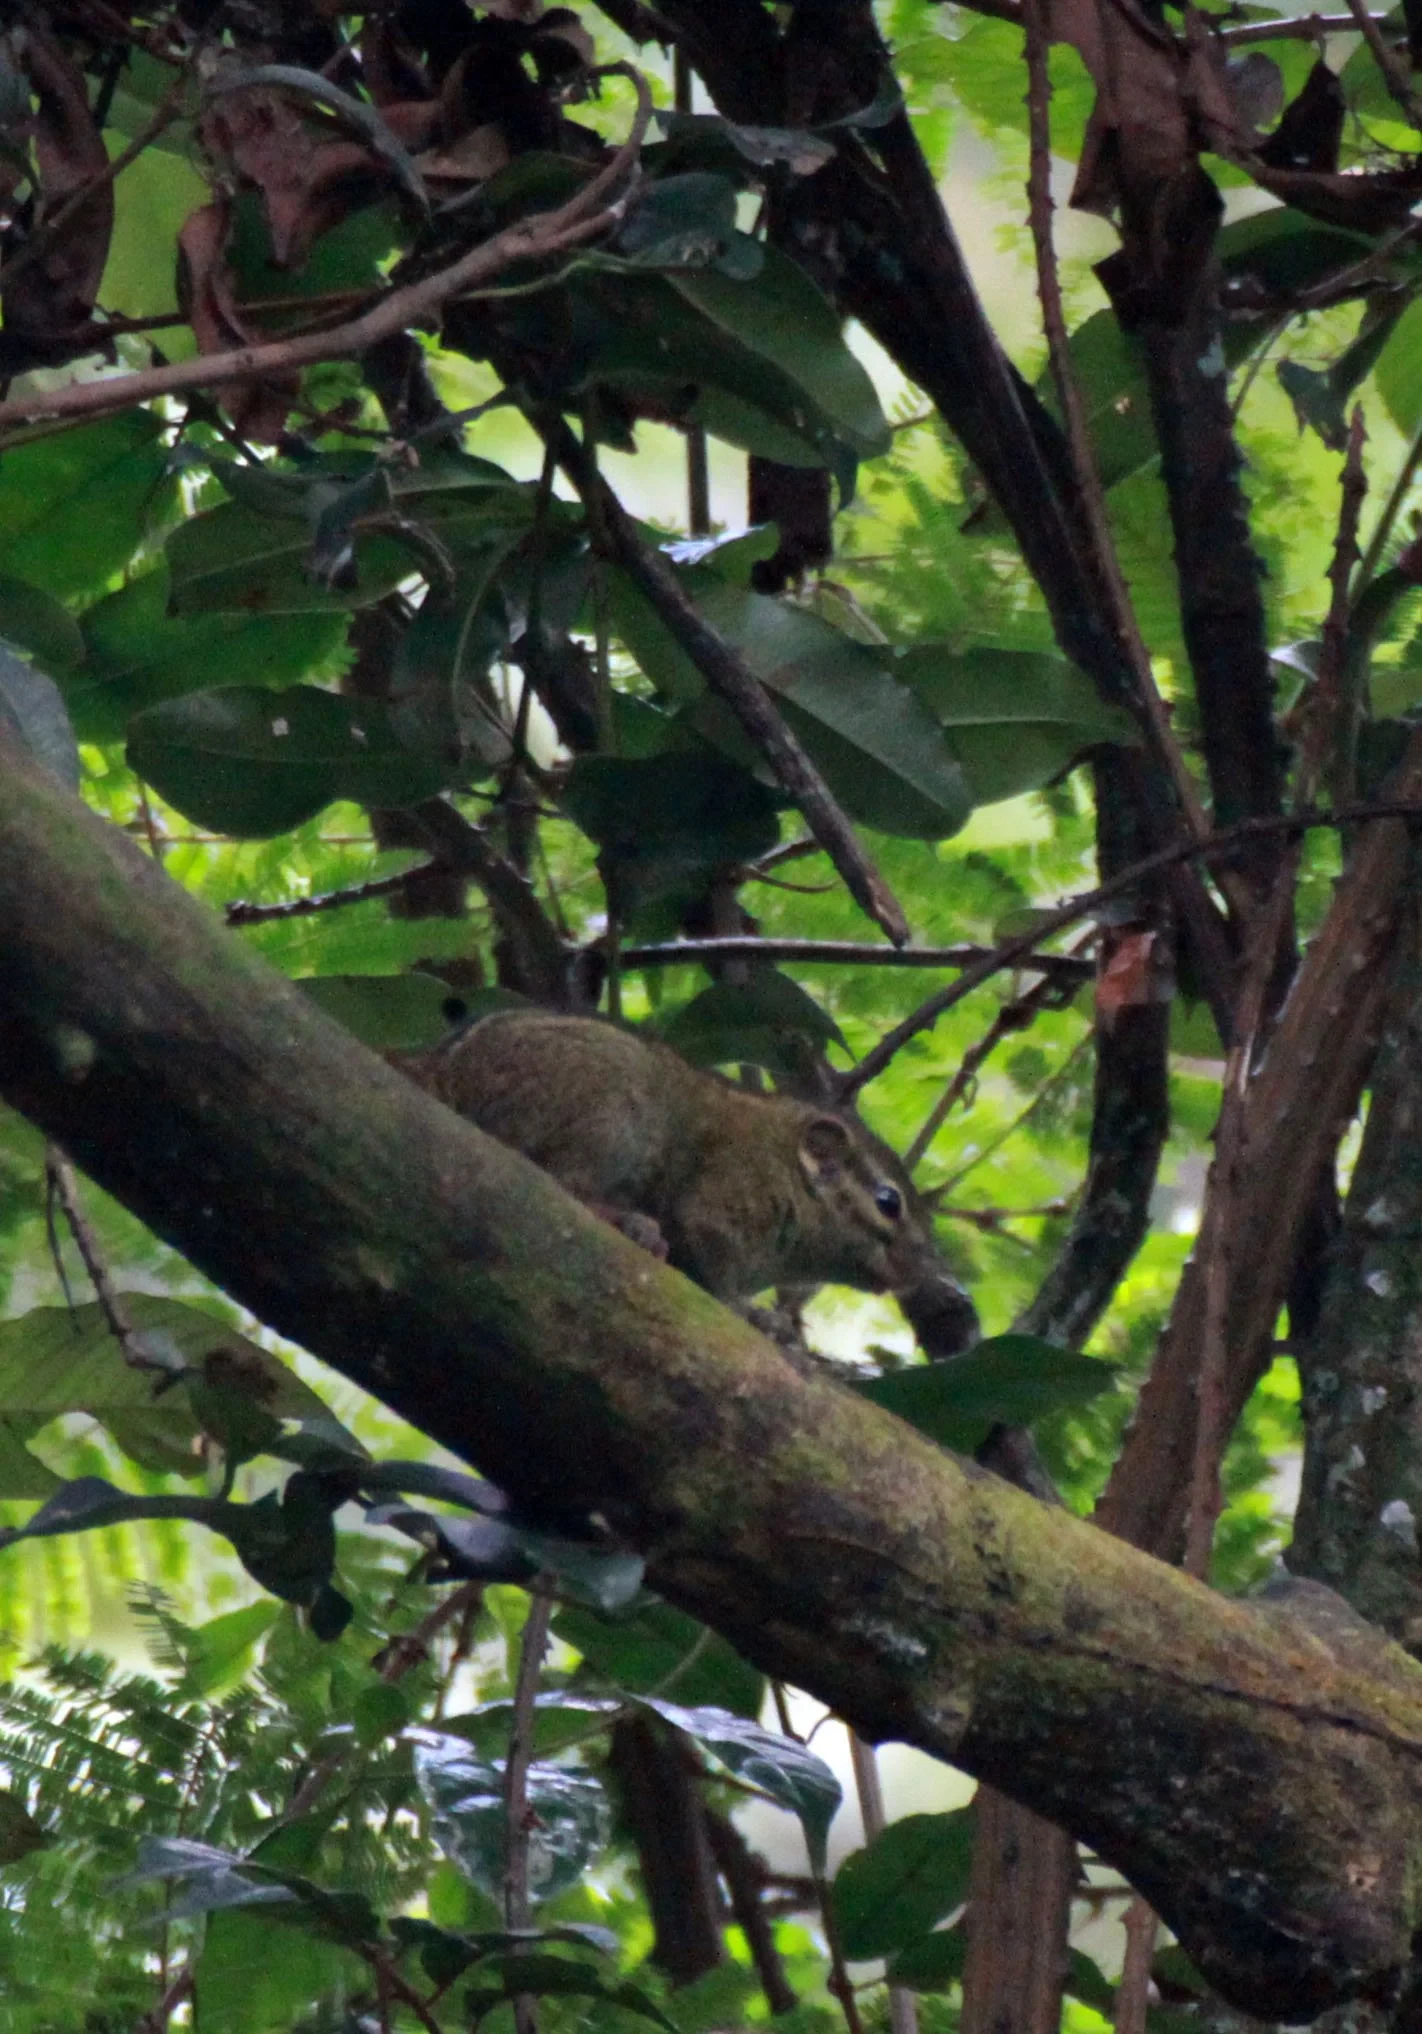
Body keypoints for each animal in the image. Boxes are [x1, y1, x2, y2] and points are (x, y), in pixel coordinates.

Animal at [393, 1011, 978, 1357]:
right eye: (888, 1202)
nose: (926, 1269)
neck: (787, 1170)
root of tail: (444, 1068)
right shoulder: (724, 1202)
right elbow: (713, 1268)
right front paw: (753, 1315)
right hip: (608, 1117)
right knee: (558, 1181)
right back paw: (631, 1224)